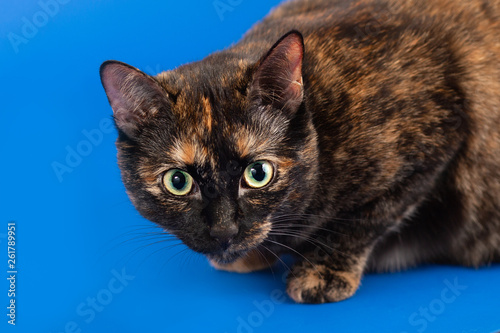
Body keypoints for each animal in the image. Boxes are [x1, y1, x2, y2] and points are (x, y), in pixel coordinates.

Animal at [99, 0, 500, 302]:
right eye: (178, 181)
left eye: (258, 174)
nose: (224, 230)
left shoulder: (438, 137)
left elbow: (364, 219)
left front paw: (320, 272)